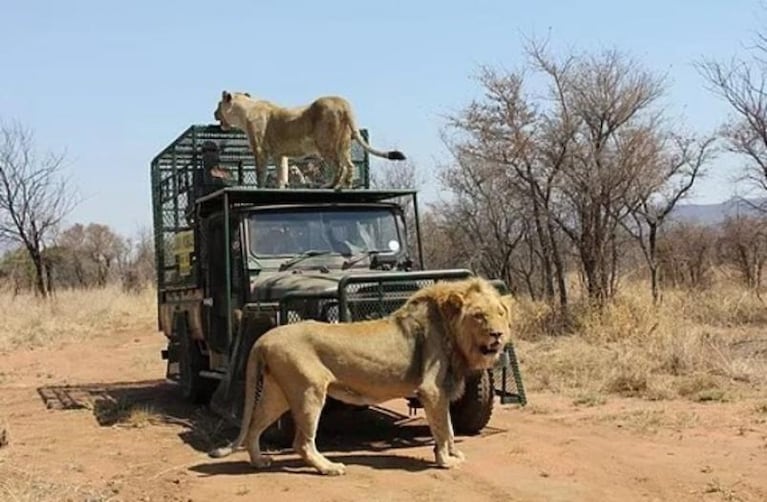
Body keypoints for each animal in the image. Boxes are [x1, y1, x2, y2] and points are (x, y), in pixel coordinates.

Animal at [207, 276, 512, 476]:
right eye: (479, 315)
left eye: (500, 313)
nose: (497, 335)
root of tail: (264, 338)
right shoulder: (432, 389)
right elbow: (442, 427)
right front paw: (445, 461)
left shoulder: (442, 390)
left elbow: (448, 426)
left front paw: (453, 453)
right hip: (309, 391)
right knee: (301, 442)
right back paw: (329, 467)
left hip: (277, 392)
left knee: (254, 427)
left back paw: (259, 462)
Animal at [213, 91, 404, 189]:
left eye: (217, 105)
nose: (214, 113)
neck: (245, 110)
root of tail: (343, 102)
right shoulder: (280, 154)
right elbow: (282, 172)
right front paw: (280, 186)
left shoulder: (260, 149)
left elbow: (261, 172)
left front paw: (261, 187)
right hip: (343, 143)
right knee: (349, 165)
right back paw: (346, 185)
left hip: (324, 143)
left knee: (338, 165)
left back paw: (330, 185)